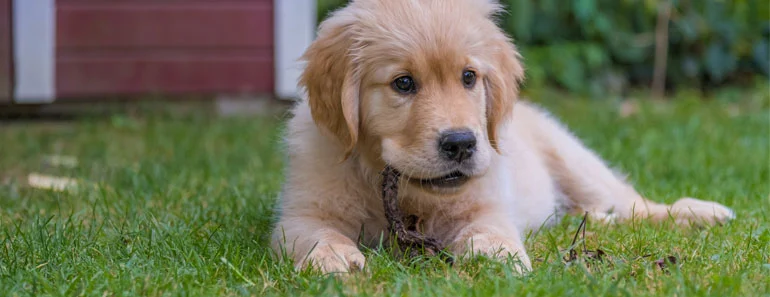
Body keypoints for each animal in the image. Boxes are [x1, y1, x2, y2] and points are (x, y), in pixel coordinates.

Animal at [268, 0, 732, 272]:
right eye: (403, 83)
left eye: (469, 77)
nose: (461, 143)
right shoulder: (300, 213)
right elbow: (313, 234)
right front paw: (332, 256)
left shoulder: (487, 203)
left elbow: (491, 231)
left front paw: (495, 256)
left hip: (577, 163)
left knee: (636, 205)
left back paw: (699, 213)